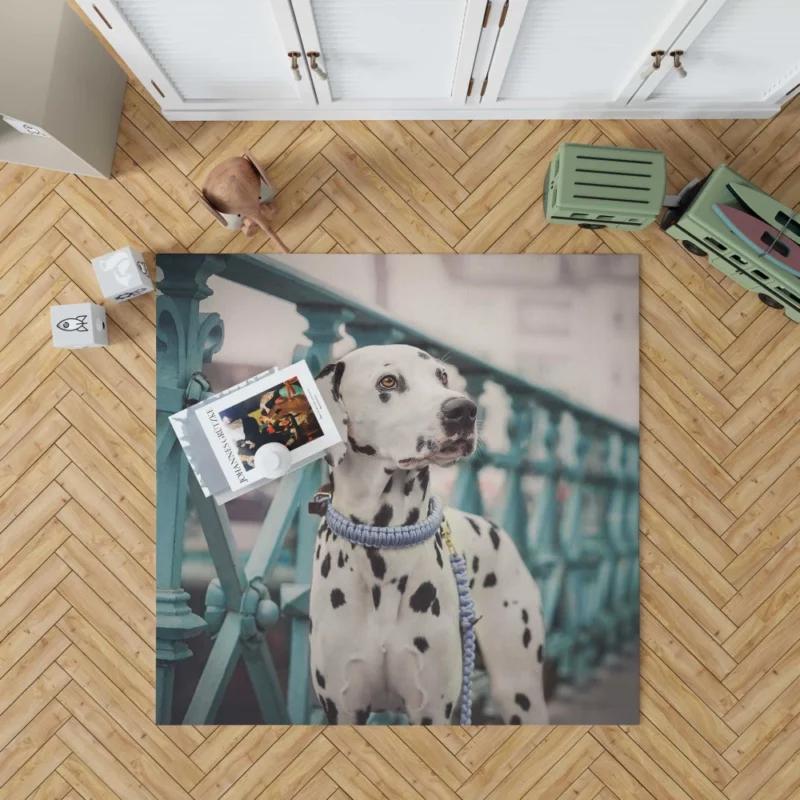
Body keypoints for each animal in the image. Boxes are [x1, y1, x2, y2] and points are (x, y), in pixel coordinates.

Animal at [310, 344, 548, 724]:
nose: (464, 410)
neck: (383, 545)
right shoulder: (343, 707)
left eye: (443, 377)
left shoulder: (432, 709)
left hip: (519, 691)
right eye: (388, 381)